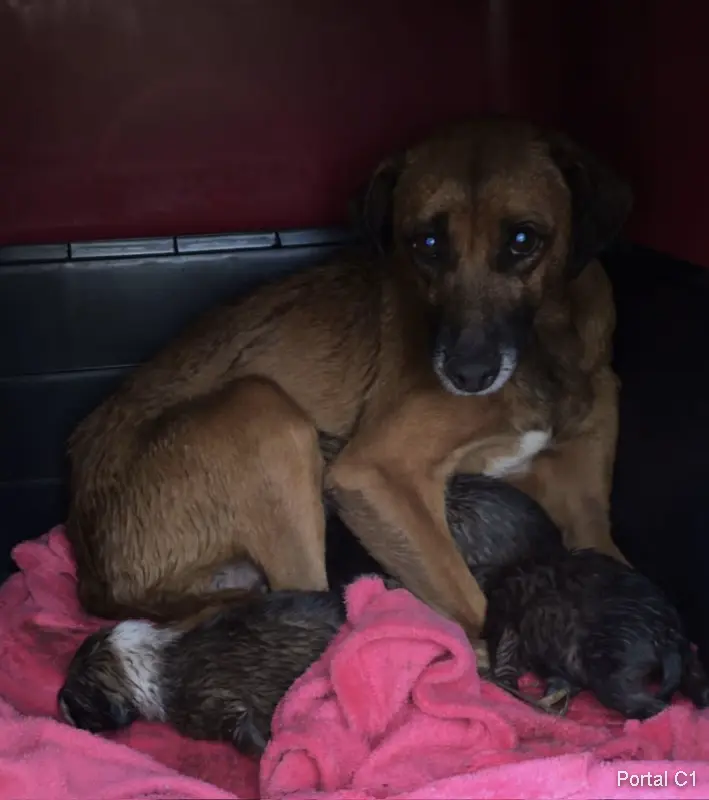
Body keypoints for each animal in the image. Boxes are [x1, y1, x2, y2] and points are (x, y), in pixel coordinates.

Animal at [65, 115, 632, 657]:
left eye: (522, 240)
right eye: (427, 243)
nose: (467, 374)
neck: (548, 349)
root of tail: (91, 569)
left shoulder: (586, 511)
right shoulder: (377, 474)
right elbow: (473, 601)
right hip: (262, 414)